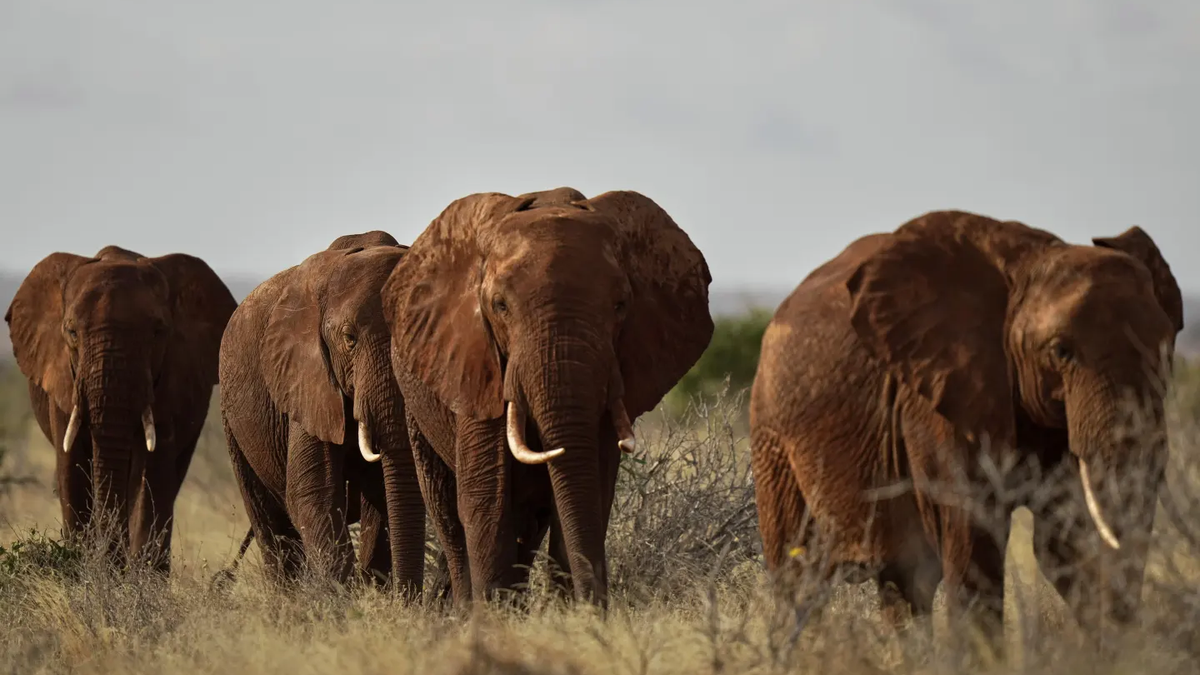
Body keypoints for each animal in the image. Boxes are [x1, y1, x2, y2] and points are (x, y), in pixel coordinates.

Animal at [4, 245, 237, 572]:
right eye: (72, 332)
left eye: (158, 332)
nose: (110, 563)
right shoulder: (63, 381)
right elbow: (71, 468)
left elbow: (152, 475)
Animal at [218, 231, 426, 594]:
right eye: (349, 339)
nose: (408, 600)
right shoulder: (305, 376)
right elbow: (313, 492)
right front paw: (342, 598)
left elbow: (384, 495)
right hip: (232, 421)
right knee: (268, 519)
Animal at [381, 186, 713, 607]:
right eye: (500, 306)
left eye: (620, 305)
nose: (593, 606)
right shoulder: (474, 364)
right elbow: (485, 497)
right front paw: (495, 616)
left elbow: (592, 489)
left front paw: (568, 613)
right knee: (448, 512)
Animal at [749, 210, 1183, 650]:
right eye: (1061, 351)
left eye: (1168, 347)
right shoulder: (936, 398)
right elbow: (975, 541)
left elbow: (1063, 542)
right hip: (772, 436)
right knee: (801, 579)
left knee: (902, 584)